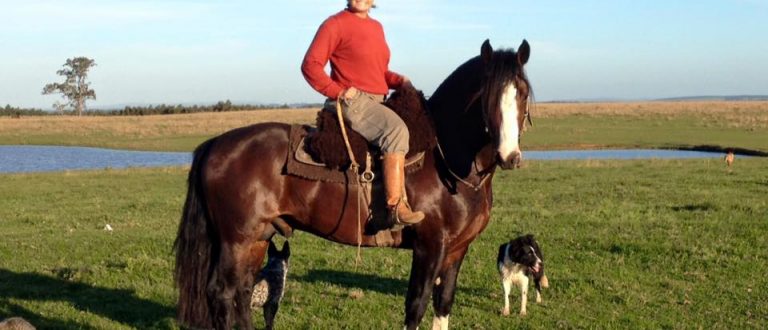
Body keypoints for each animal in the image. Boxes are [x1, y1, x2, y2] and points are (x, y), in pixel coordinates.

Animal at [176, 39, 532, 330]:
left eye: (523, 93)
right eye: (486, 97)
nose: (509, 156)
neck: (447, 160)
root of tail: (216, 143)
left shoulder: (457, 250)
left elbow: (442, 306)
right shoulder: (429, 247)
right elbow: (415, 307)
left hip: (258, 237)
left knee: (243, 292)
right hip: (236, 240)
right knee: (223, 293)